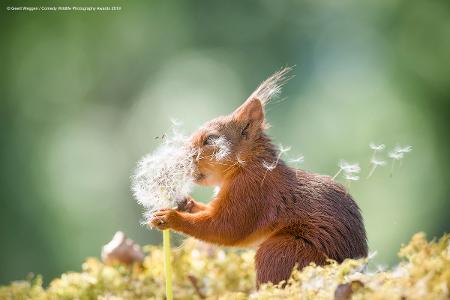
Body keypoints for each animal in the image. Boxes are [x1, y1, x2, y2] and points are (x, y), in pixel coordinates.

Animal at [151, 67, 370, 286]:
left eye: (211, 139)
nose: (181, 159)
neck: (247, 166)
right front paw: (185, 203)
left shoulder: (252, 191)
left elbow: (226, 228)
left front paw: (170, 218)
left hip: (281, 252)